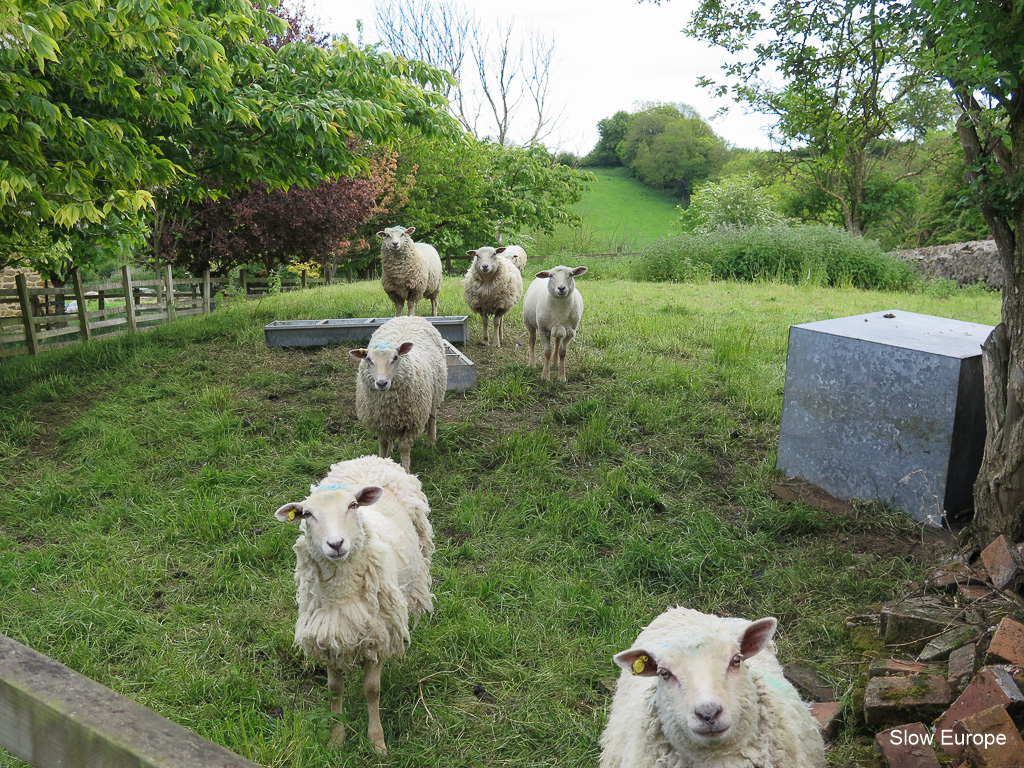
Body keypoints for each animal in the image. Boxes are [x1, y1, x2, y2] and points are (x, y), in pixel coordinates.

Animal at [272, 456, 432, 757]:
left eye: (353, 506)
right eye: (307, 514)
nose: (336, 544)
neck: (342, 596)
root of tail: (369, 459)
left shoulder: (377, 635)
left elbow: (372, 690)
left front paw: (377, 743)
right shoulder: (328, 637)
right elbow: (335, 689)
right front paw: (336, 738)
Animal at [350, 313, 446, 475]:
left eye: (395, 358)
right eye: (369, 359)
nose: (381, 383)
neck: (388, 404)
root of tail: (409, 316)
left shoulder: (412, 422)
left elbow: (404, 447)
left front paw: (406, 471)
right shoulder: (379, 421)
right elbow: (383, 443)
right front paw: (383, 461)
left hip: (435, 393)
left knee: (432, 417)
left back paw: (431, 441)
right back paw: (391, 447)